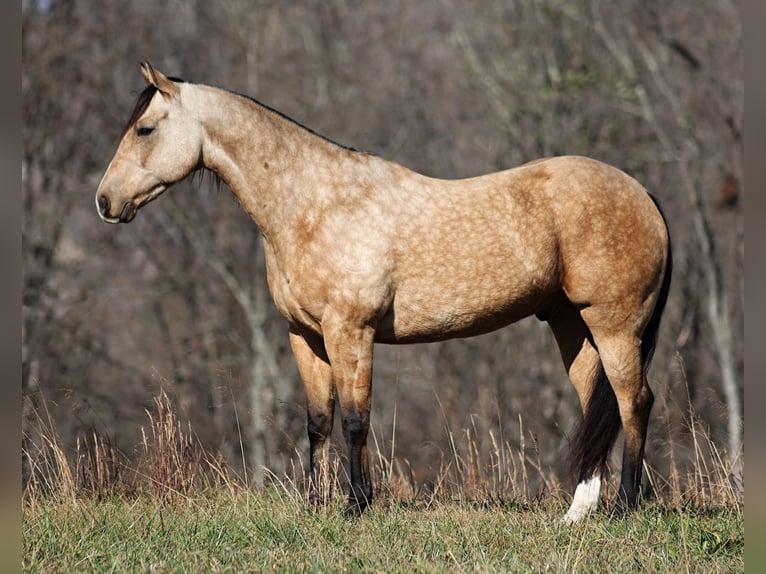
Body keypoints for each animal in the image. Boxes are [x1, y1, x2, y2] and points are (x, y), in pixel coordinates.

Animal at [96, 63, 672, 528]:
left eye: (145, 128)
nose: (105, 202)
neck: (314, 205)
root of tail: (644, 194)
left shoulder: (351, 332)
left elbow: (355, 419)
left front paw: (356, 505)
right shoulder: (305, 336)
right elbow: (318, 422)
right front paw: (314, 506)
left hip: (616, 326)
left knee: (633, 402)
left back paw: (625, 506)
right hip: (573, 326)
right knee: (596, 405)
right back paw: (577, 513)